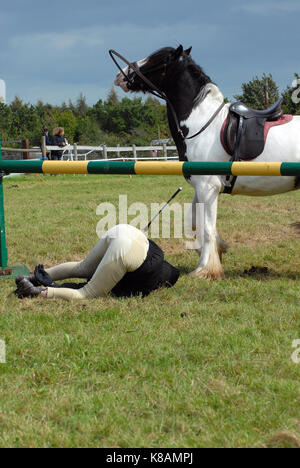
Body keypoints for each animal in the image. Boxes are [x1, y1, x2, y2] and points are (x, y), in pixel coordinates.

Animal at [113, 44, 300, 278]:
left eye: (158, 60)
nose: (121, 76)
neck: (201, 123)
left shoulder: (208, 187)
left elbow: (208, 228)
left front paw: (205, 269)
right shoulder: (200, 186)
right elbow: (194, 222)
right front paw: (216, 250)